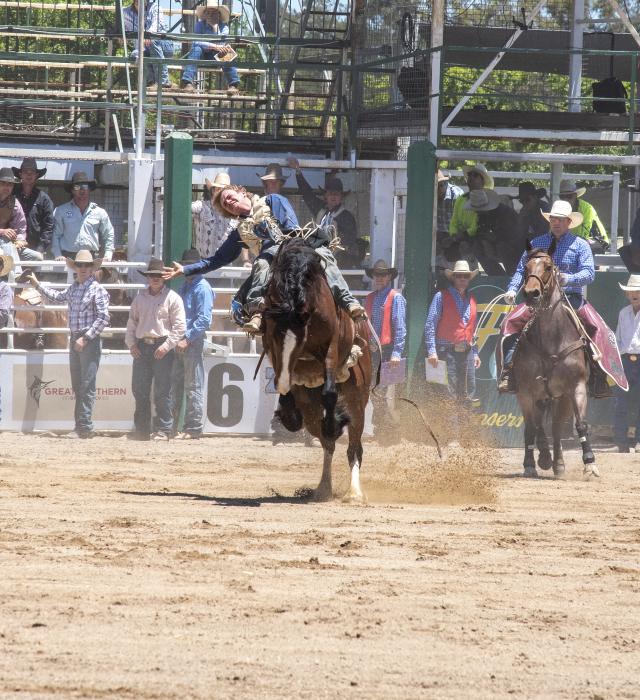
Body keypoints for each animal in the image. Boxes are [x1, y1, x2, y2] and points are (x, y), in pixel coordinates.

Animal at [262, 238, 372, 502]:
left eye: (301, 338)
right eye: (274, 337)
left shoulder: (331, 346)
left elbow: (330, 393)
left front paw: (333, 423)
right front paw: (287, 409)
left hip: (357, 402)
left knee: (353, 448)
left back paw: (354, 492)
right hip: (310, 409)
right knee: (327, 444)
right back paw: (323, 488)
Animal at [511, 240, 598, 479]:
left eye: (549, 267)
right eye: (526, 267)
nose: (531, 293)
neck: (552, 340)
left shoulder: (576, 387)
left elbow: (581, 424)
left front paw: (590, 463)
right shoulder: (526, 391)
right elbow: (531, 427)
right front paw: (529, 464)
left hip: (561, 397)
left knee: (556, 428)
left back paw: (557, 463)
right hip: (539, 396)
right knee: (538, 426)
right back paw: (543, 457)